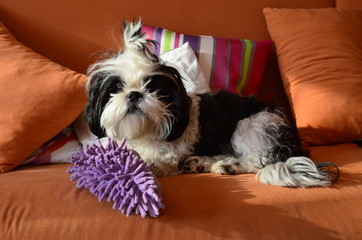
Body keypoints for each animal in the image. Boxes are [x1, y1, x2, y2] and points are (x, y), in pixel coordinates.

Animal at [83, 20, 338, 188]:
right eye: (116, 88)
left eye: (153, 88)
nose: (134, 94)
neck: (143, 133)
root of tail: (292, 142)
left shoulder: (166, 156)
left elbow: (147, 160)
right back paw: (202, 163)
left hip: (252, 125)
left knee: (258, 160)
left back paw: (227, 166)